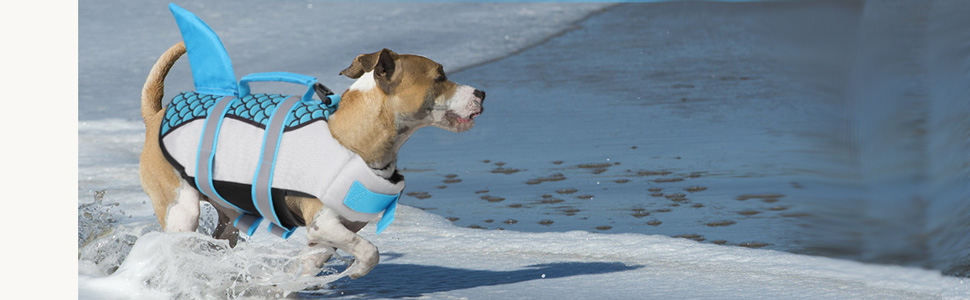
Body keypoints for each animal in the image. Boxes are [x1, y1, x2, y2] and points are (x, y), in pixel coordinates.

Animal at [138, 42, 484, 278]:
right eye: (439, 77)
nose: (481, 92)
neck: (350, 137)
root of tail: (155, 116)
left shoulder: (325, 238)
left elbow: (310, 264)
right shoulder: (323, 224)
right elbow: (370, 251)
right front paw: (357, 270)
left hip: (229, 217)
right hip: (182, 211)